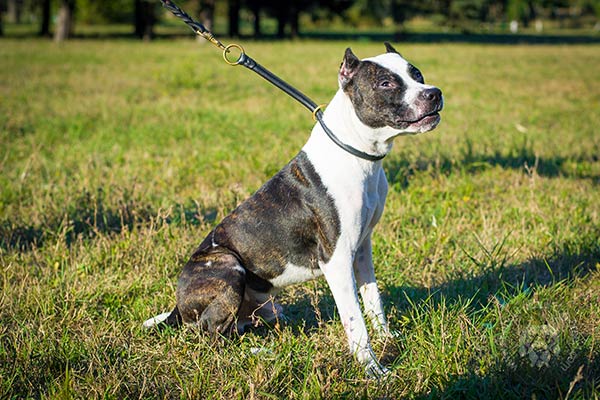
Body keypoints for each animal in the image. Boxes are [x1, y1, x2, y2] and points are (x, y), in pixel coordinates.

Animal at [146, 42, 442, 376]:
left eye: (417, 74)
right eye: (386, 83)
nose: (434, 93)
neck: (357, 154)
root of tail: (177, 306)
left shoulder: (362, 248)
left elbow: (373, 299)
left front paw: (387, 337)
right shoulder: (336, 259)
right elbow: (355, 320)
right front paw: (372, 370)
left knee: (235, 327)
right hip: (227, 265)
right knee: (210, 336)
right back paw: (258, 353)